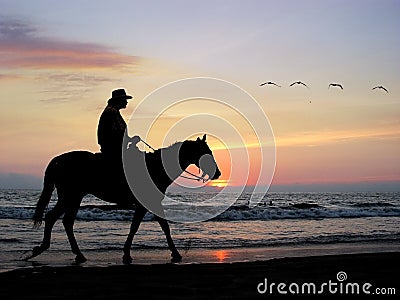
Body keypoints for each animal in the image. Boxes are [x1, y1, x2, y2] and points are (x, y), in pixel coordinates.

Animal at [24, 135, 220, 264]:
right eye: (206, 152)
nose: (218, 173)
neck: (155, 167)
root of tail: (60, 160)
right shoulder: (147, 204)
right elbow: (147, 227)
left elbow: (155, 226)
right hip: (71, 196)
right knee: (60, 220)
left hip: (71, 197)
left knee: (59, 219)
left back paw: (54, 250)